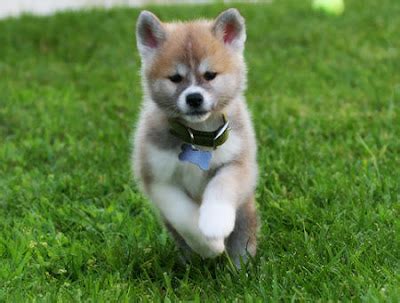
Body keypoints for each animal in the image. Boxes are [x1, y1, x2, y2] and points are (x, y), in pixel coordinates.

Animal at [134, 8, 260, 268]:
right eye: (175, 78)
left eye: (210, 75)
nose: (194, 98)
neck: (197, 135)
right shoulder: (158, 179)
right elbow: (182, 215)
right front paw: (208, 245)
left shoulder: (238, 163)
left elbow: (221, 186)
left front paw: (215, 223)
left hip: (245, 214)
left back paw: (240, 266)